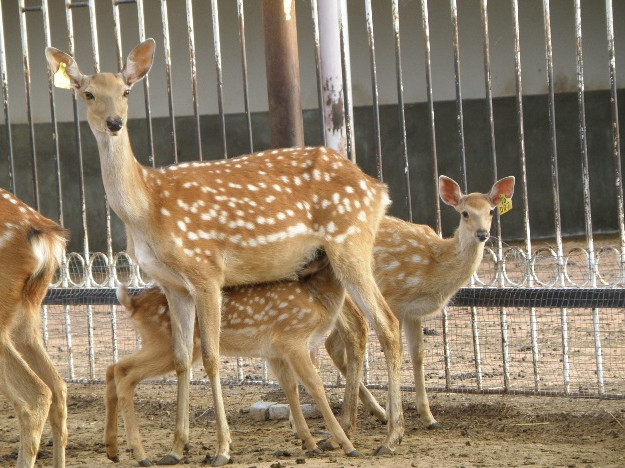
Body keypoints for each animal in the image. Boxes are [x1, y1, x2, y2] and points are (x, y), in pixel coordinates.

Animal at [106, 254, 360, 466]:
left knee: (114, 368)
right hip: (163, 343)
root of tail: (133, 303)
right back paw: (140, 455)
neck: (318, 301)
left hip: (157, 344)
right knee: (124, 374)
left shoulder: (275, 352)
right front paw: (346, 445)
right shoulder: (293, 339)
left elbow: (291, 388)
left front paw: (310, 443)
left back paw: (114, 450)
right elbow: (316, 386)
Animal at [324, 175, 516, 436]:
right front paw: (396, 412)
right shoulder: (394, 299)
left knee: (330, 344)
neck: (433, 266)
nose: (482, 234)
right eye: (465, 213)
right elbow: (394, 349)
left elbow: (417, 355)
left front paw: (428, 417)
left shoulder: (412, 313)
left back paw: (373, 413)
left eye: (491, 211)